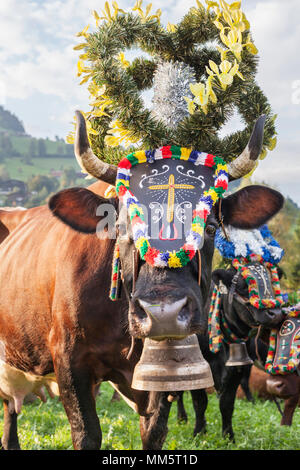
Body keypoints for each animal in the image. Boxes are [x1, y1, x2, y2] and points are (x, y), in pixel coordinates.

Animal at [0, 112, 284, 450]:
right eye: (122, 227)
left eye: (210, 227)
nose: (164, 314)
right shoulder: (68, 359)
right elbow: (87, 433)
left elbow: (155, 431)